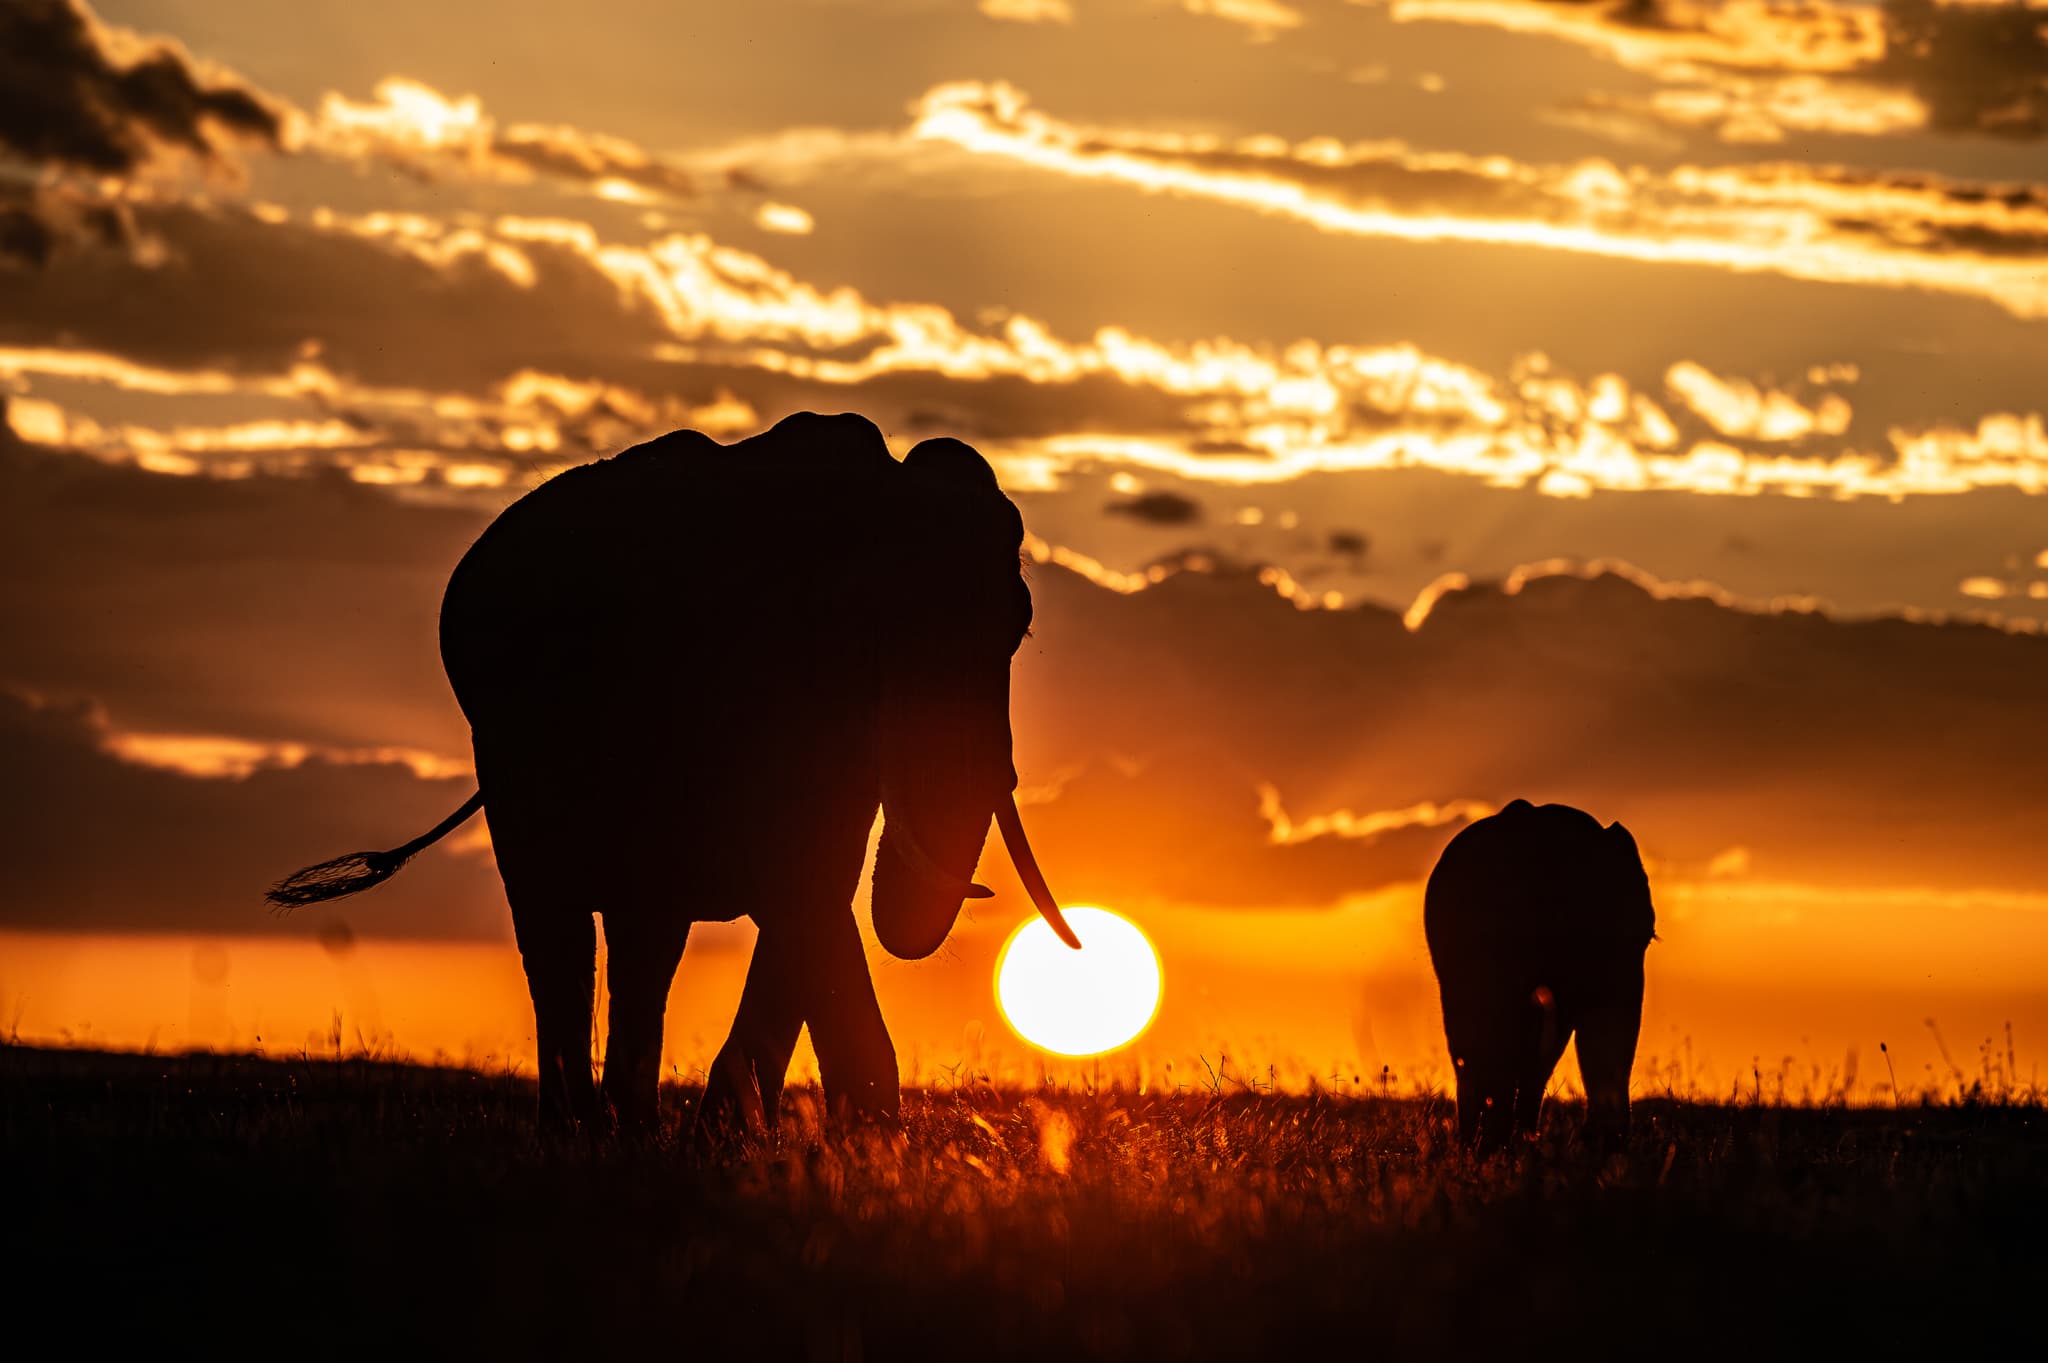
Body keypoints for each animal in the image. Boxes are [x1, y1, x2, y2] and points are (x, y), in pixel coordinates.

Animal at [268, 411, 1079, 1133]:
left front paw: (747, 1137)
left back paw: (631, 1129)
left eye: (1020, 630)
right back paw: (586, 1133)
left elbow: (814, 887)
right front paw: (840, 1137)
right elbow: (799, 888)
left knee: (645, 937)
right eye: (876, 629)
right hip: (504, 740)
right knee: (563, 924)